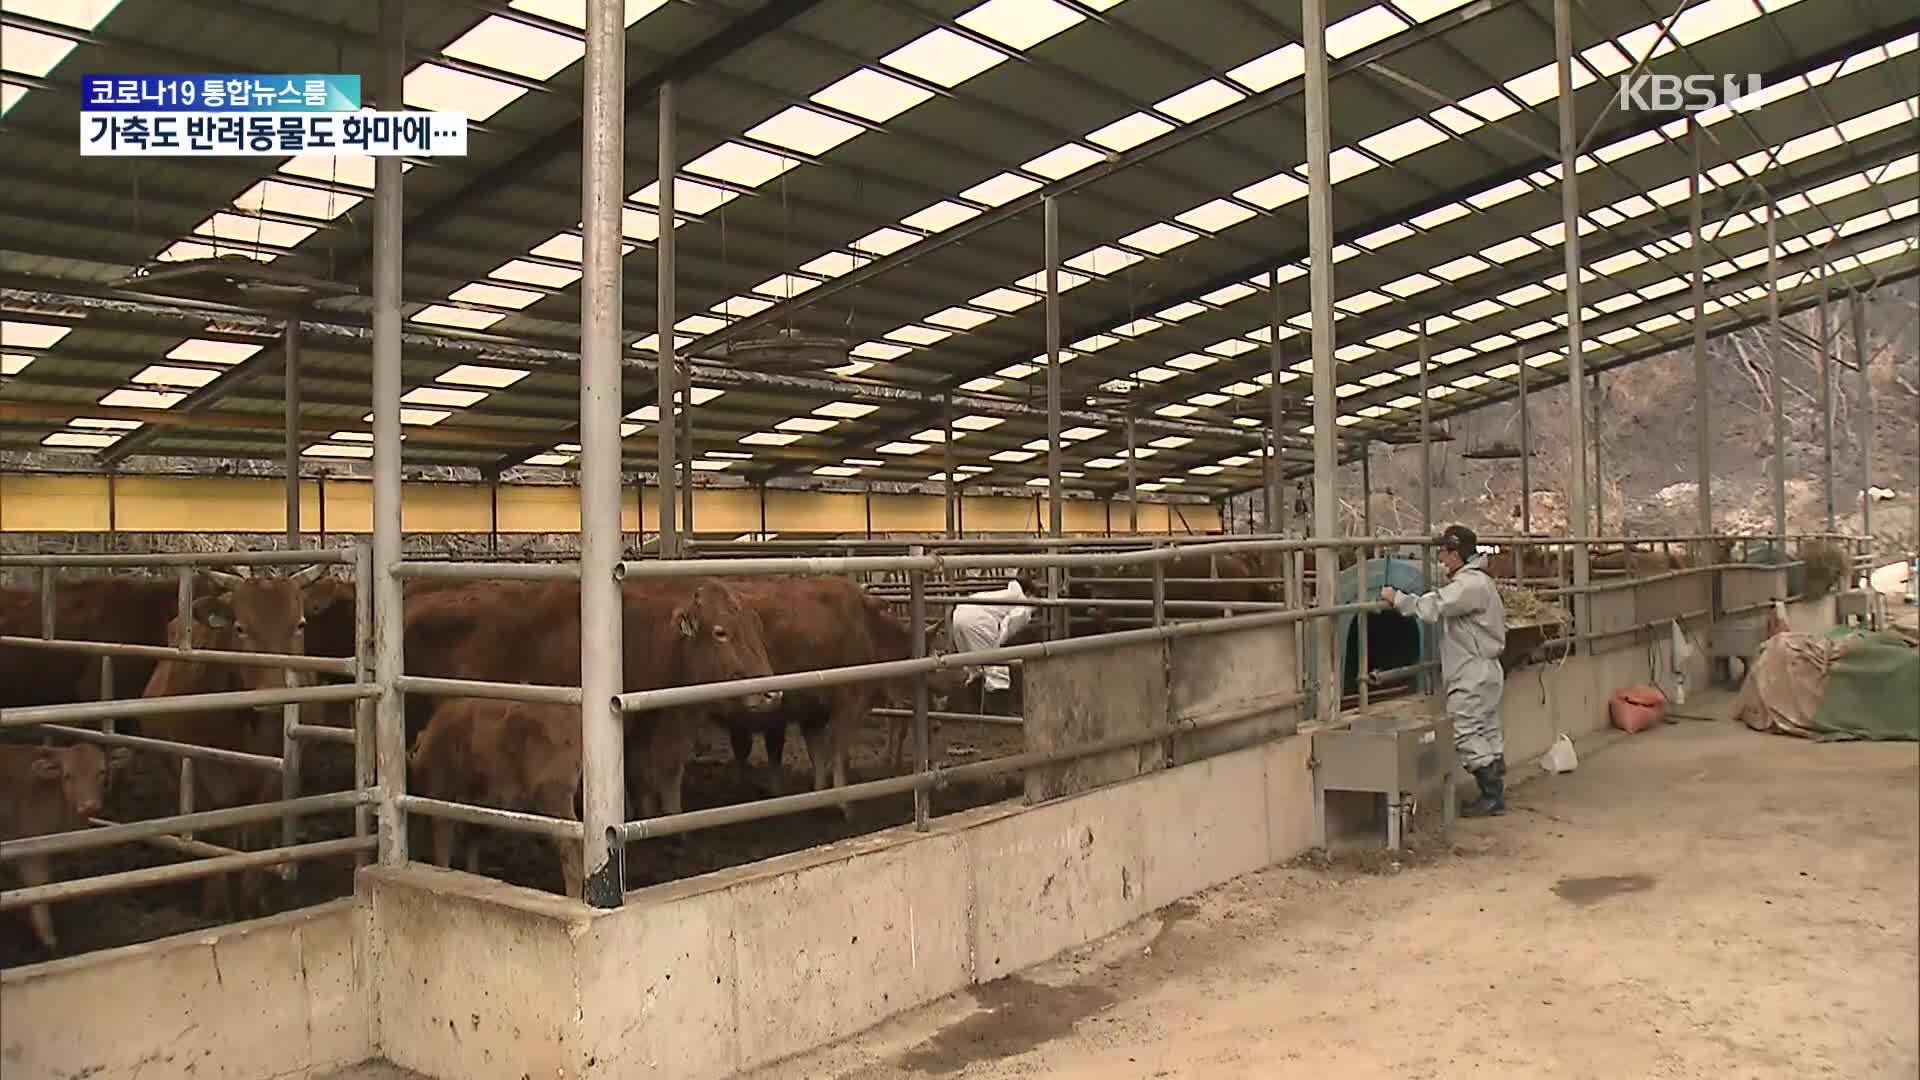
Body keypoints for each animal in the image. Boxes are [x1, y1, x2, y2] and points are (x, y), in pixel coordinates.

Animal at [1, 737, 131, 949]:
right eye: (68, 775)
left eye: (101, 772)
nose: (89, 805)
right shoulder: (32, 849)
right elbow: (38, 886)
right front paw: (47, 938)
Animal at [140, 568, 320, 910]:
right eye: (240, 628)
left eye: (300, 625)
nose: (274, 695)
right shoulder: (198, 765)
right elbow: (217, 818)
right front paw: (217, 899)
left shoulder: (276, 771)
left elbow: (258, 822)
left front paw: (252, 896)